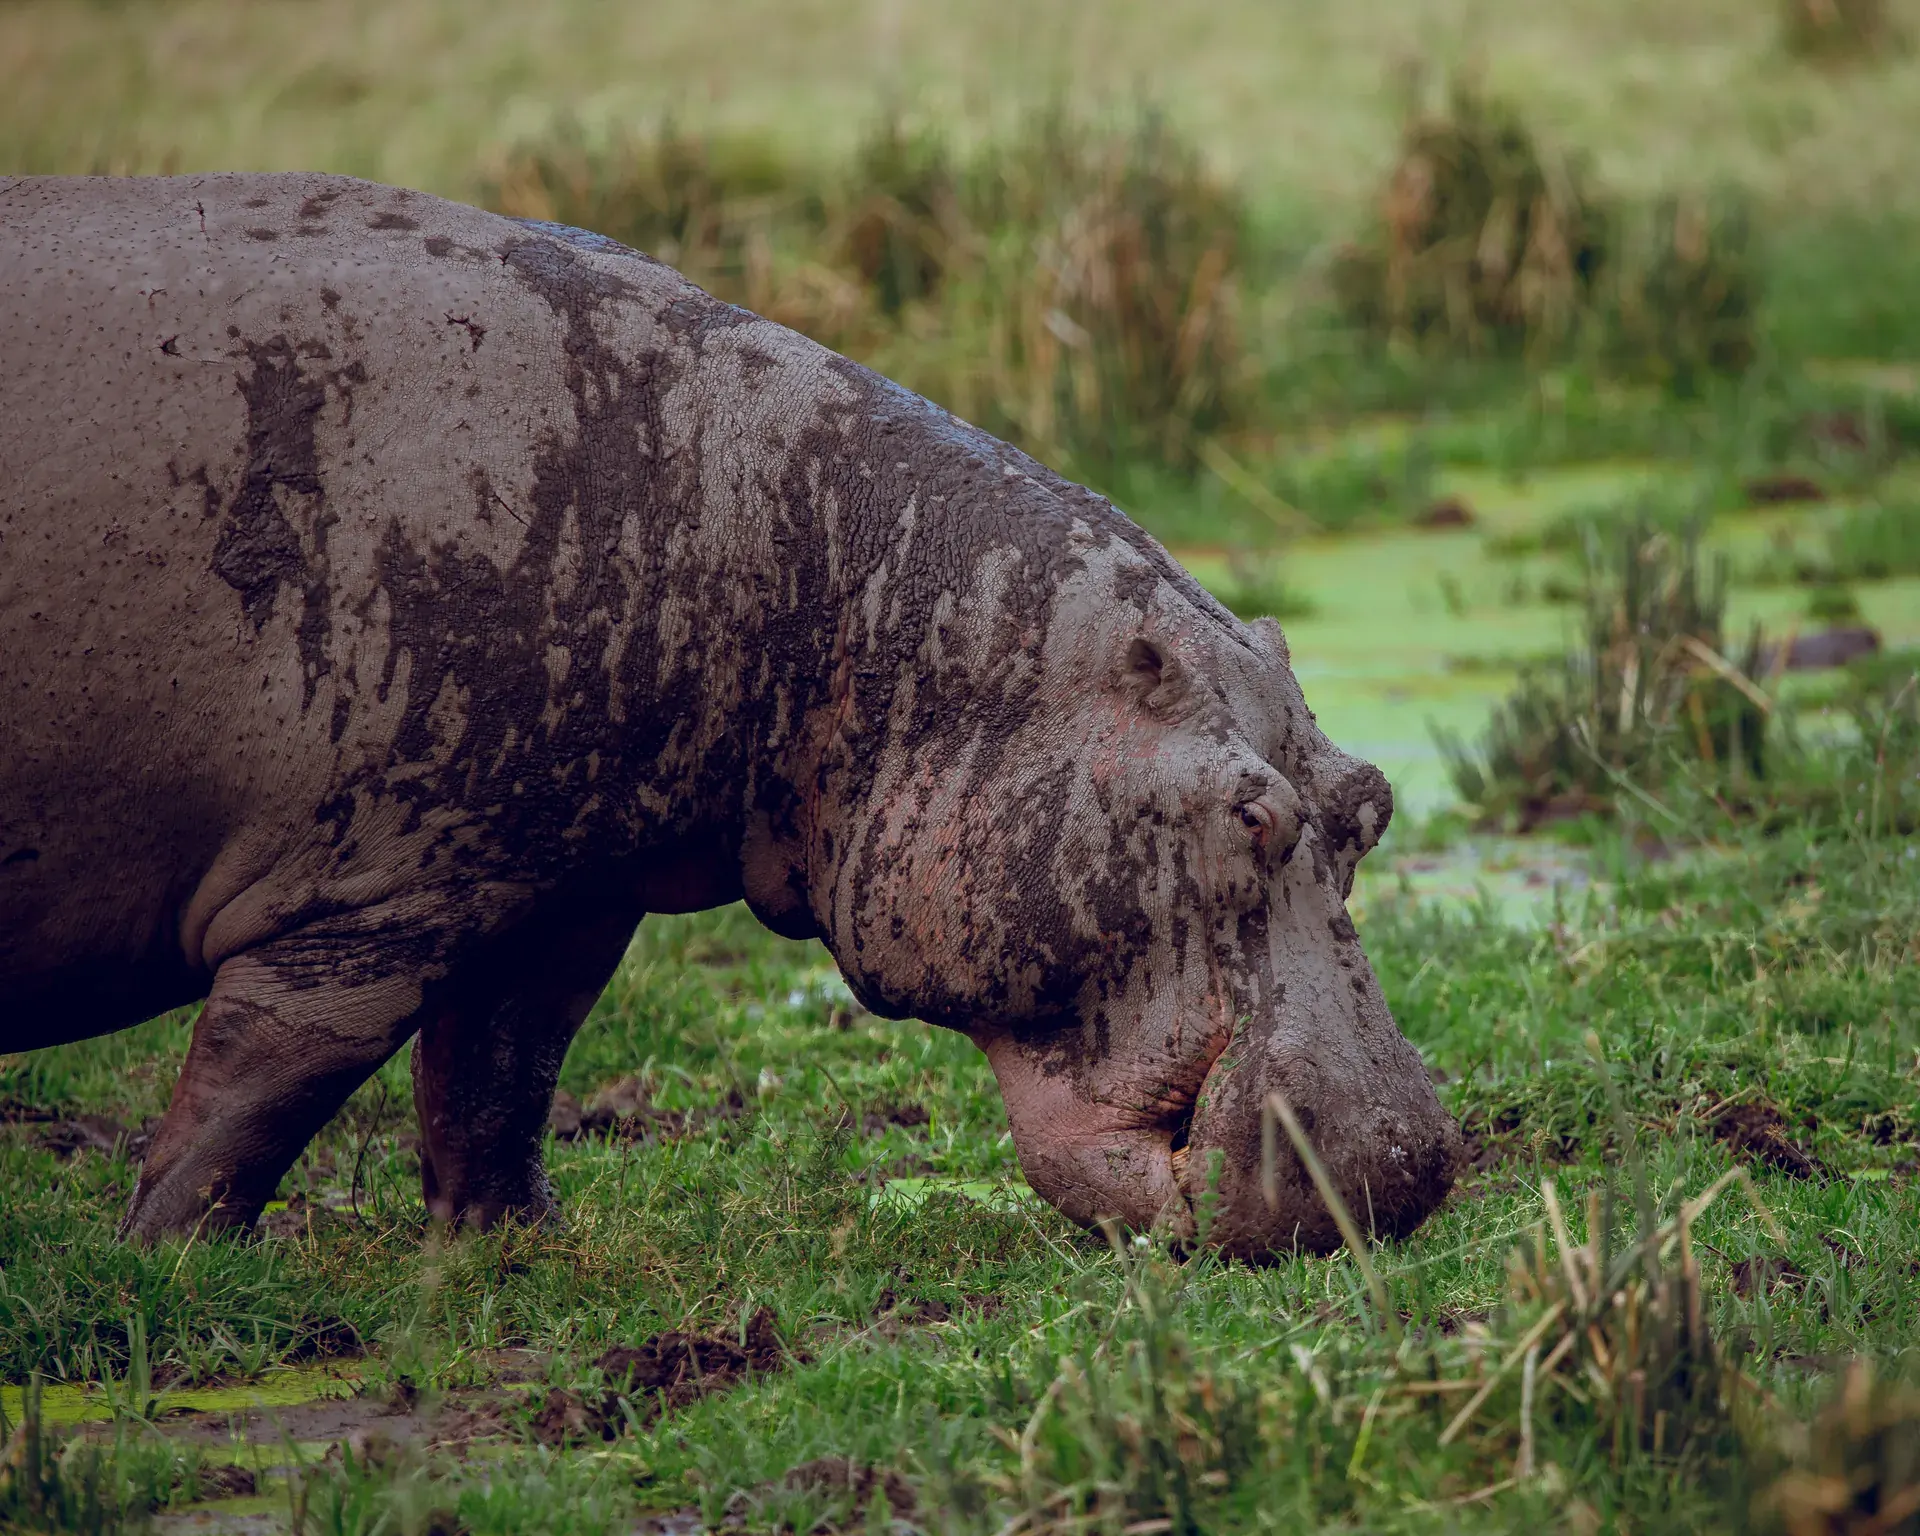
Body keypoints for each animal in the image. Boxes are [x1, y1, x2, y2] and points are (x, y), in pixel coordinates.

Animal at [0, 173, 1458, 1258]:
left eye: (1371, 802)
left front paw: (520, 1249)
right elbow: (266, 1081)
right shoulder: (367, 893)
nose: (1399, 1165)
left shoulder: (558, 886)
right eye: (1248, 814)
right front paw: (169, 1265)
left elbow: (501, 1069)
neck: (849, 577)